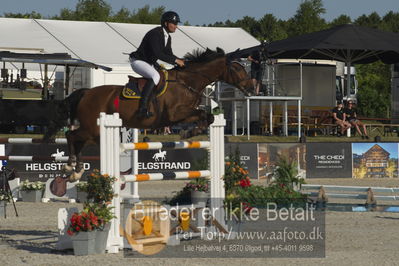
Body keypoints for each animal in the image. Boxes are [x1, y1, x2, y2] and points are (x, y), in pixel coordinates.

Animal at [45, 47, 255, 181]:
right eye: (237, 68)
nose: (253, 88)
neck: (187, 82)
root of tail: (86, 92)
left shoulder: (183, 115)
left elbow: (207, 117)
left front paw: (189, 133)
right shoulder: (175, 113)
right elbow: (204, 115)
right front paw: (188, 133)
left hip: (92, 132)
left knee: (77, 140)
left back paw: (76, 171)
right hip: (93, 129)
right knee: (71, 135)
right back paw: (70, 166)